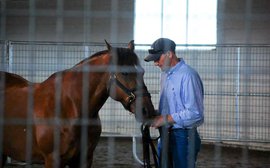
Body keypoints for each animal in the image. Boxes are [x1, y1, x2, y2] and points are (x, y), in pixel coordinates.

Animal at [0, 40, 156, 167]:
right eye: (124, 73)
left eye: (142, 72)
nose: (147, 110)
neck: (69, 107)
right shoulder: (52, 160)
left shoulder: (85, 159)